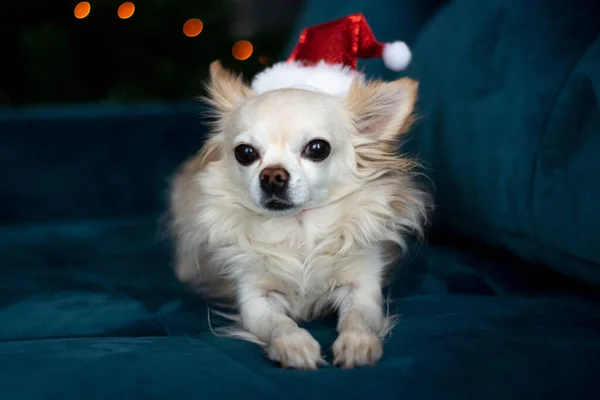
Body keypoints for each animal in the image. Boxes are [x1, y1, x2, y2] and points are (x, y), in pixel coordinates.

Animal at [169, 61, 428, 370]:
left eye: (317, 148)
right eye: (245, 153)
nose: (272, 175)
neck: (298, 228)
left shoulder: (362, 287)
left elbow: (359, 318)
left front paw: (357, 343)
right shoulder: (256, 298)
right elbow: (279, 324)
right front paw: (295, 346)